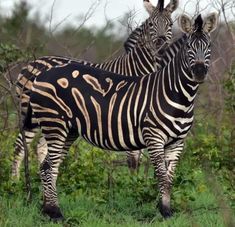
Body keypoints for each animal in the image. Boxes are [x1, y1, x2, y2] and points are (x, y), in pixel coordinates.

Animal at [12, 0, 178, 177]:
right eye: (151, 24)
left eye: (170, 24)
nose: (161, 48)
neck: (136, 68)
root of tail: (31, 63)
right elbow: (132, 157)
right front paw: (133, 180)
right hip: (32, 114)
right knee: (20, 146)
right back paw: (15, 181)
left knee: (41, 146)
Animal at [23, 12, 218, 220]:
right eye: (189, 47)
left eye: (209, 46)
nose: (199, 73)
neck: (178, 94)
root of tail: (41, 74)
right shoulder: (154, 137)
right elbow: (162, 176)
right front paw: (164, 212)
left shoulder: (177, 142)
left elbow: (169, 178)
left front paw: (167, 210)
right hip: (55, 124)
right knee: (47, 166)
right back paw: (55, 212)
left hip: (68, 130)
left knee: (50, 165)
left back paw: (47, 209)